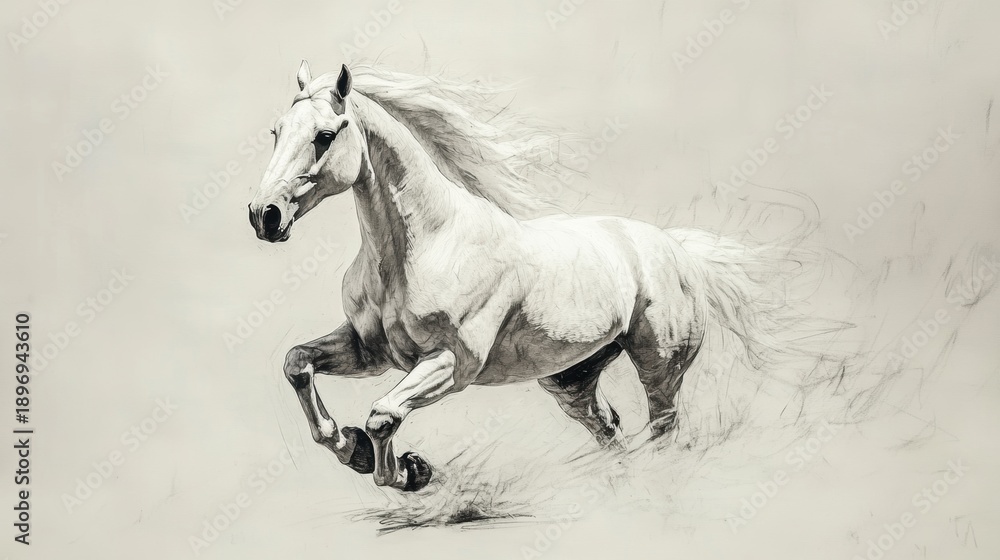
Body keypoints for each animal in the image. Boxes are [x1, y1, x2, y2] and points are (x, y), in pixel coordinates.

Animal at [248, 61, 784, 492]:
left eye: (324, 135)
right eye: (276, 131)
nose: (264, 215)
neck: (423, 246)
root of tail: (677, 250)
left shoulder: (452, 364)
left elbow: (383, 417)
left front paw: (407, 471)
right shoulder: (370, 351)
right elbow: (298, 364)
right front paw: (351, 447)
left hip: (660, 370)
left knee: (663, 432)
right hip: (570, 380)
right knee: (610, 428)